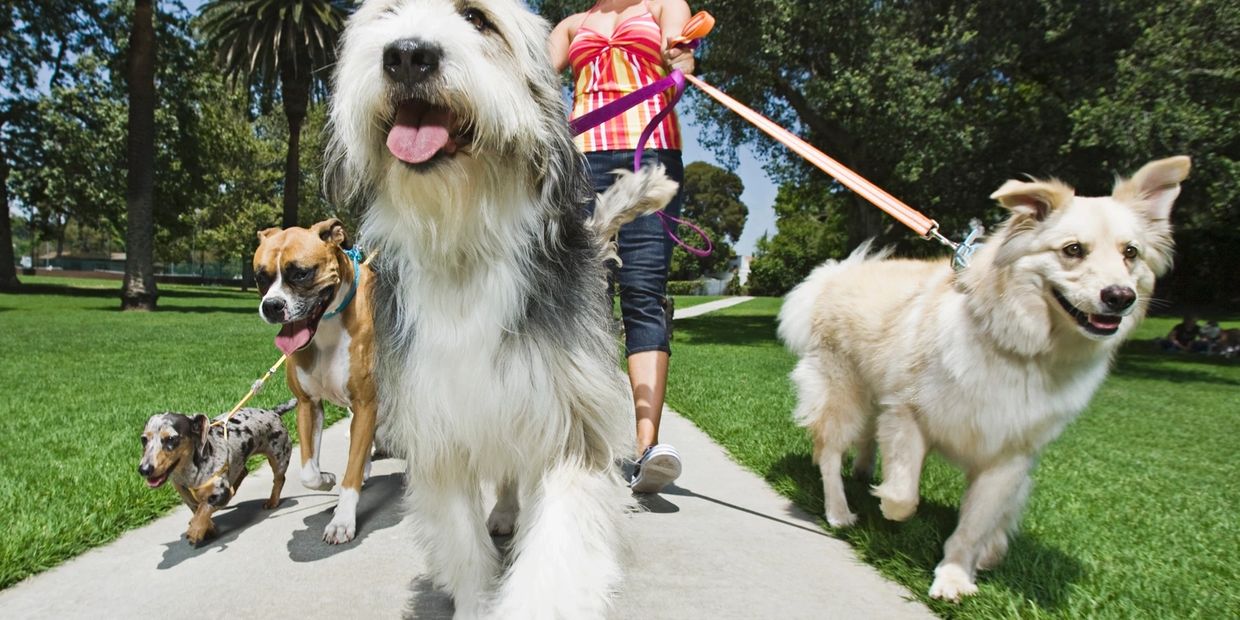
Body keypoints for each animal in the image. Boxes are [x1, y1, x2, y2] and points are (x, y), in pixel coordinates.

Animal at [329, 1, 674, 615]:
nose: (407, 55)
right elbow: (465, 549)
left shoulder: (573, 426)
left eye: (478, 19)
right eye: (388, 14)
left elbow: (553, 563)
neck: (465, 242)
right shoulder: (438, 430)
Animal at [783, 157, 1190, 602]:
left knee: (864, 441)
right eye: (1073, 250)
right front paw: (889, 507)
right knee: (830, 452)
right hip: (844, 394)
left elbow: (978, 522)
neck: (1022, 350)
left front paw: (959, 574)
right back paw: (840, 509)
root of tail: (835, 274)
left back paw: (863, 473)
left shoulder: (1009, 455)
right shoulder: (907, 414)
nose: (1120, 297)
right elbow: (905, 494)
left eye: (1130, 253)